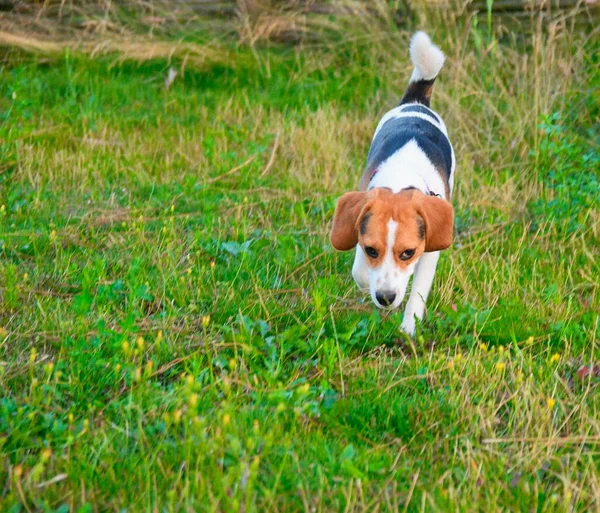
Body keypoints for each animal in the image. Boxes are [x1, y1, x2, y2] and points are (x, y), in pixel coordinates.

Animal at [328, 32, 454, 336]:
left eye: (408, 253)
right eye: (372, 250)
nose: (385, 298)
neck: (400, 181)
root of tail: (416, 101)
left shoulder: (429, 251)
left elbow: (418, 289)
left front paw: (409, 327)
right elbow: (360, 272)